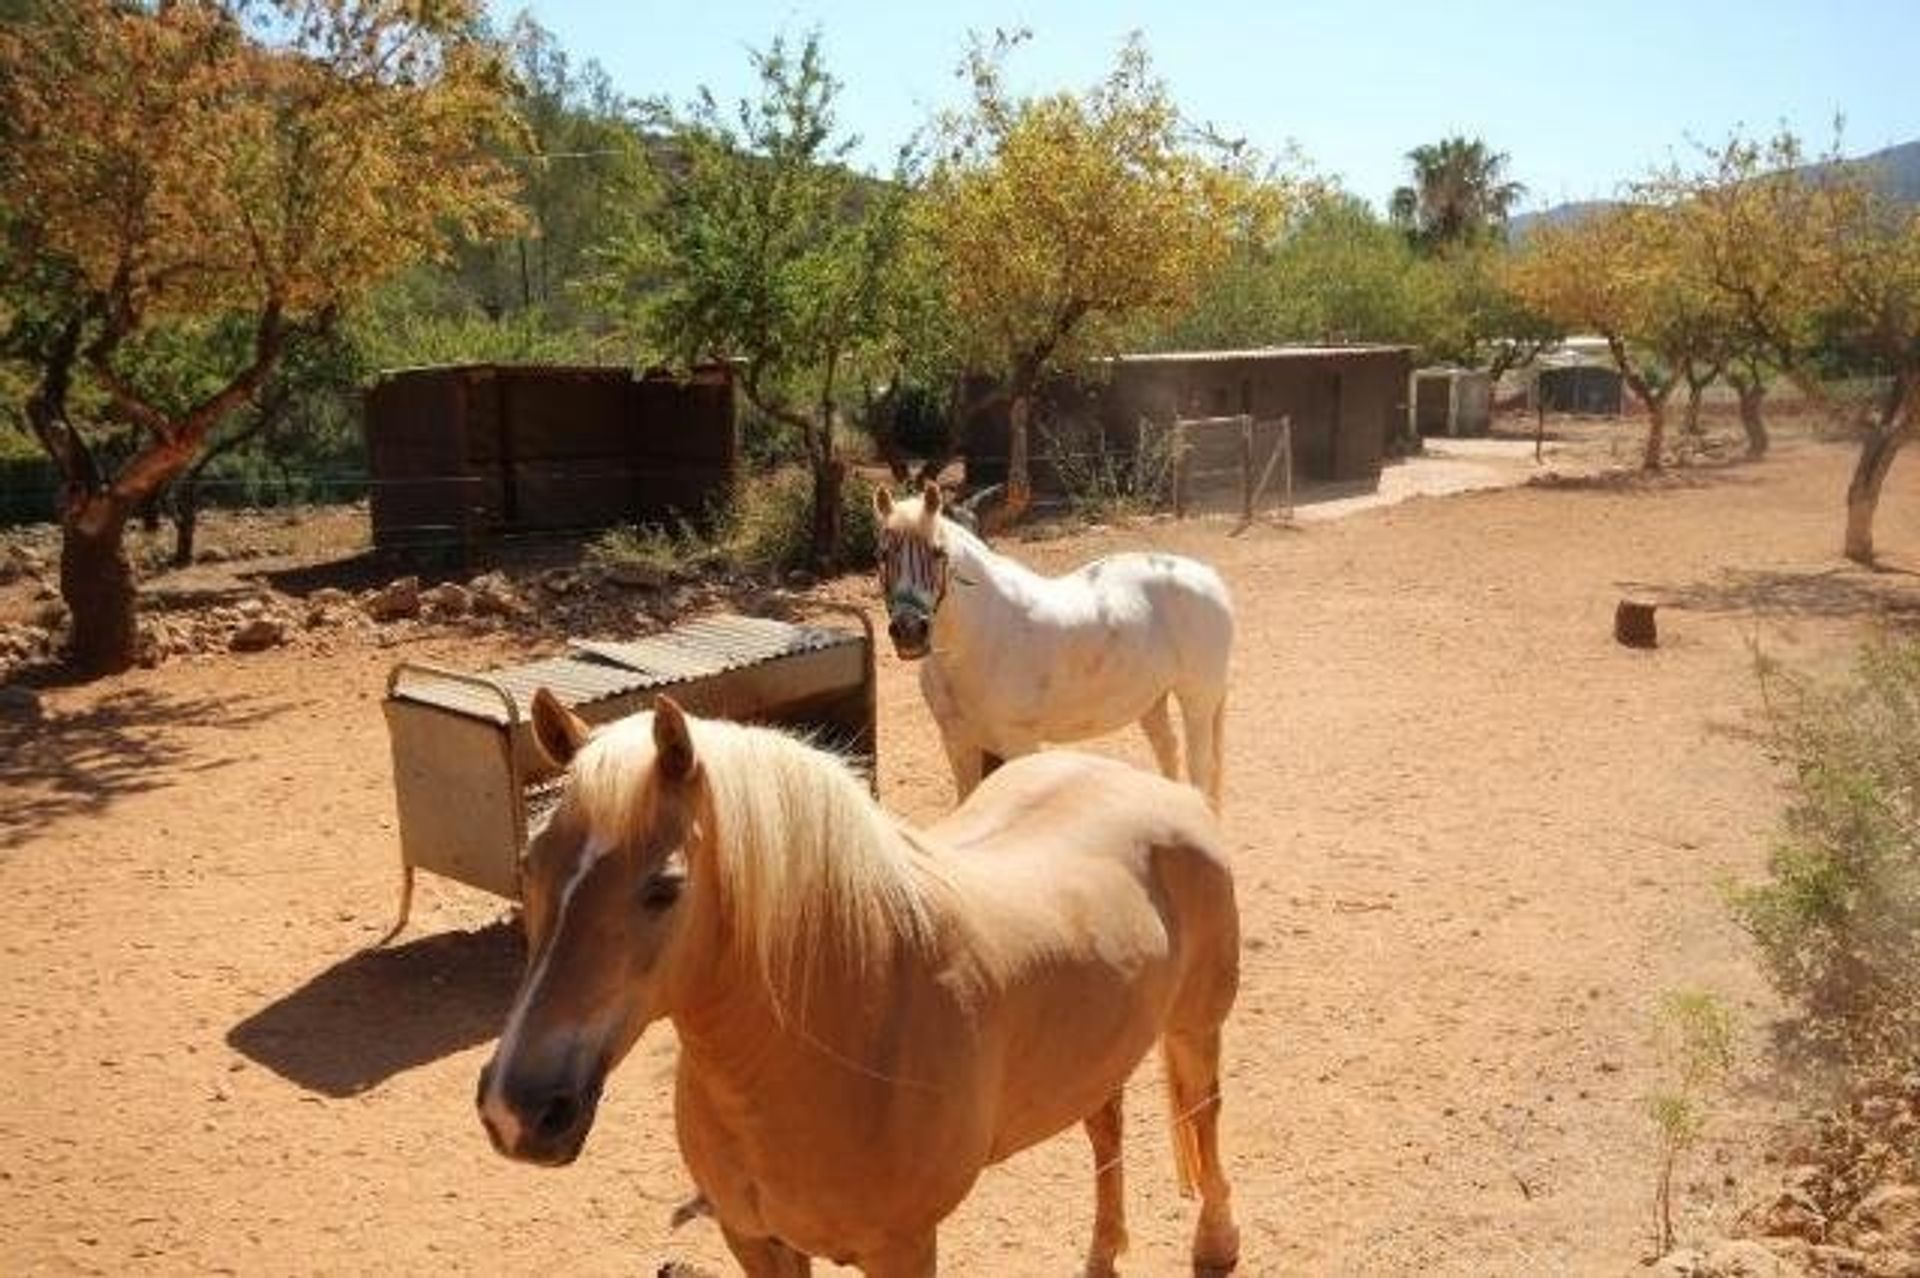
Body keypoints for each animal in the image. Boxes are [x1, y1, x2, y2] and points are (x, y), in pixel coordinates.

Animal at [480, 690, 1244, 1266]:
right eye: (530, 865)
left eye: (664, 889)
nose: (517, 1111)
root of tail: (1160, 787)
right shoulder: (753, 1240)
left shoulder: (900, 1249)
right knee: (1105, 1130)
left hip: (1196, 1027)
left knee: (1204, 1117)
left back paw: (1215, 1241)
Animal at [879, 483, 1236, 802]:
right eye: (882, 555)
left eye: (938, 552)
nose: (910, 630)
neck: (975, 640)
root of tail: (1207, 576)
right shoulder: (958, 742)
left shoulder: (1017, 741)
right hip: (1152, 699)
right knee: (1168, 750)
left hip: (1198, 699)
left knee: (1201, 767)